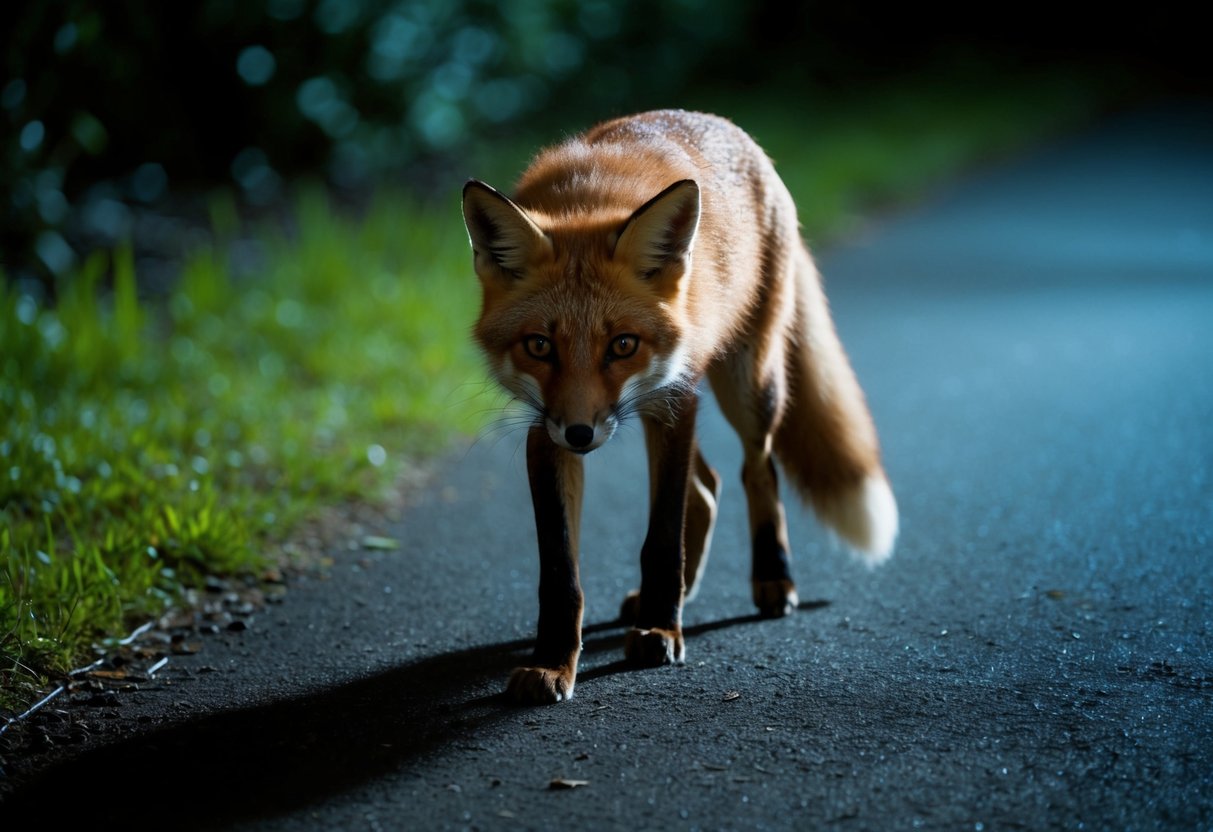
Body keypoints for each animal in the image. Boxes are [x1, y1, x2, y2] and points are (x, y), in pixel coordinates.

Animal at [461, 109, 898, 705]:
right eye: (540, 346)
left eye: (622, 344)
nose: (580, 434)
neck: (589, 197)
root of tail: (731, 128)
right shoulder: (543, 428)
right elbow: (560, 572)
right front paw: (553, 662)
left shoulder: (676, 401)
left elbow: (663, 539)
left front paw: (660, 630)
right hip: (653, 410)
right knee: (709, 487)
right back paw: (675, 595)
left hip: (745, 384)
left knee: (757, 470)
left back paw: (771, 578)